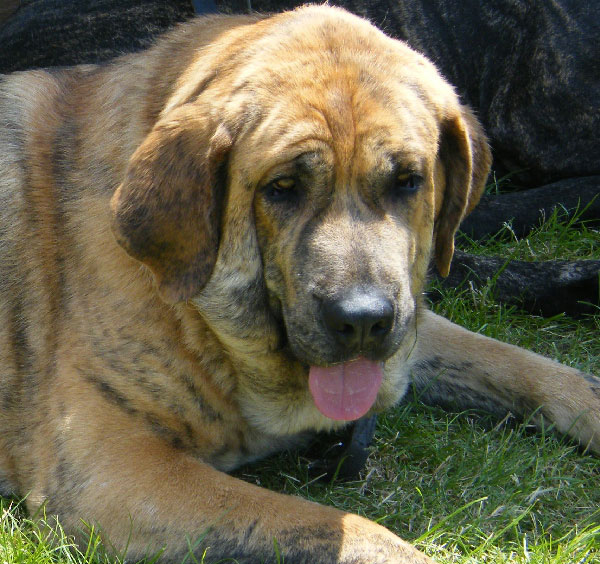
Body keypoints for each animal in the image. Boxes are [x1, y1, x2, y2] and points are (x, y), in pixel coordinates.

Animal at [1, 4, 600, 564]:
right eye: (283, 187)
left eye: (408, 181)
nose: (362, 320)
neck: (198, 324)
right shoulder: (115, 467)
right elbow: (346, 529)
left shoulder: (407, 323)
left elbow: (526, 365)